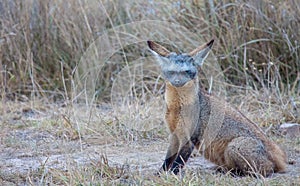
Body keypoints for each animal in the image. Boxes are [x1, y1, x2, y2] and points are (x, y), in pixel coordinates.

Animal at [148, 39, 288, 177]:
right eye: (172, 72)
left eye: (187, 72)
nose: (177, 82)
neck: (177, 107)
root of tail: (279, 157)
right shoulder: (174, 135)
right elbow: (167, 160)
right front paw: (160, 174)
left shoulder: (190, 138)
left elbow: (178, 163)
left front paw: (172, 175)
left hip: (234, 147)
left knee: (267, 170)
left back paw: (235, 173)